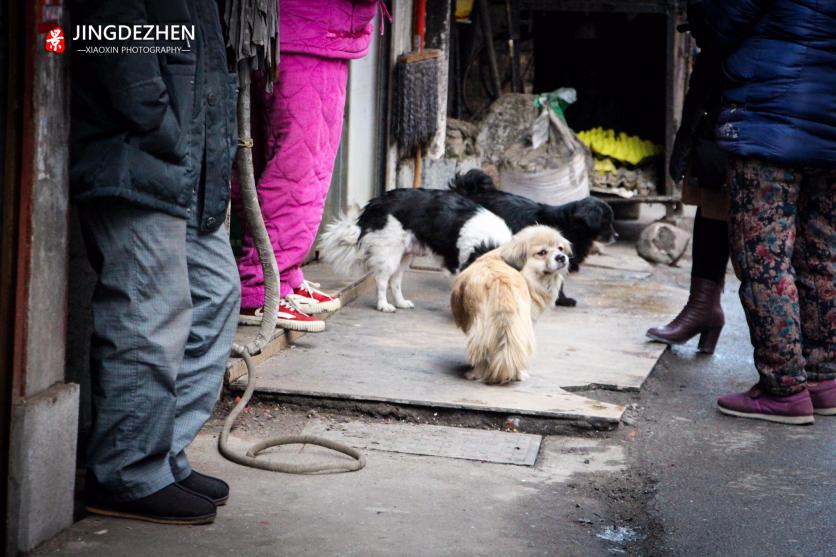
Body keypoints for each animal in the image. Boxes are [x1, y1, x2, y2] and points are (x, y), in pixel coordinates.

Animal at [320, 189, 512, 312]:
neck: (488, 243)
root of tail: (375, 204)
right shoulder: (457, 267)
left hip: (404, 255)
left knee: (395, 281)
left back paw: (400, 303)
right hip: (390, 254)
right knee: (382, 280)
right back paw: (383, 305)